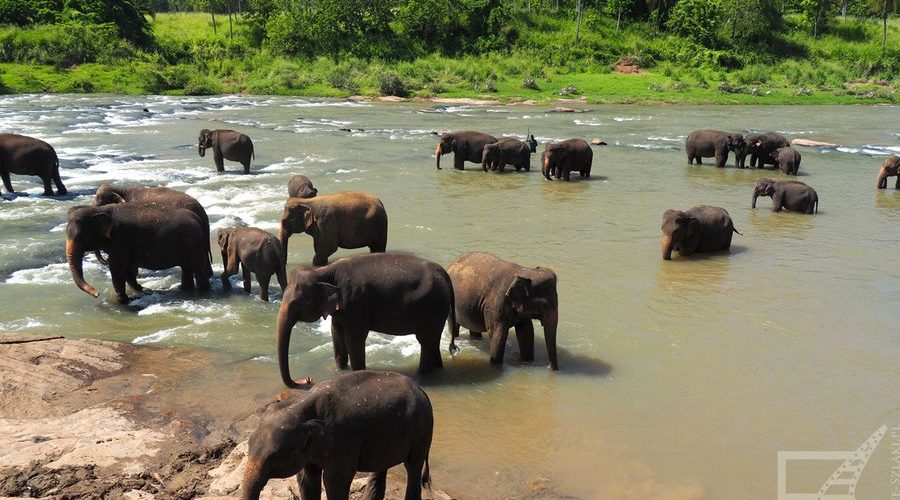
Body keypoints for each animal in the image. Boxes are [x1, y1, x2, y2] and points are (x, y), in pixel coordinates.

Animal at [67, 201, 211, 302]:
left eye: (80, 237)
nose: (97, 294)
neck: (99, 209)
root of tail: (197, 217)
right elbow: (128, 268)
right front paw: (143, 290)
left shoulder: (121, 240)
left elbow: (117, 267)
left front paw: (121, 301)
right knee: (186, 268)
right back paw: (185, 290)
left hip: (194, 244)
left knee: (198, 269)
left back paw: (203, 293)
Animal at [276, 254, 458, 386]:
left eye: (296, 303)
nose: (307, 380)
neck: (325, 271)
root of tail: (446, 275)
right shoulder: (342, 308)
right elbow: (336, 333)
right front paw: (339, 370)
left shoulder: (356, 301)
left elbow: (354, 338)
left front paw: (357, 373)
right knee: (433, 342)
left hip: (433, 307)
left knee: (426, 342)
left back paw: (419, 377)